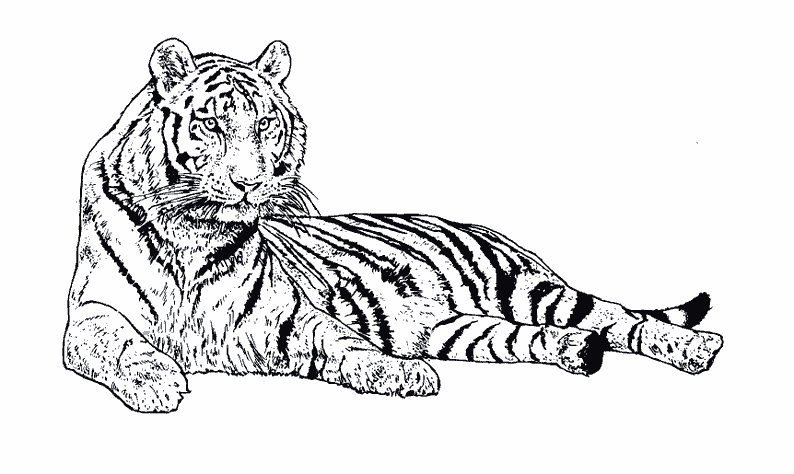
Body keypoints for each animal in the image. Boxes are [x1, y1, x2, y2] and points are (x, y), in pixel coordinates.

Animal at [64, 38, 724, 413]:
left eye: (267, 126)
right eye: (210, 125)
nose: (252, 184)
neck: (196, 230)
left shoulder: (292, 319)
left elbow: (343, 343)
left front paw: (399, 374)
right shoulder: (91, 311)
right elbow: (115, 342)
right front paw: (156, 381)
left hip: (531, 290)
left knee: (620, 317)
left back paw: (697, 349)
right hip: (459, 328)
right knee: (544, 337)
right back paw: (578, 353)